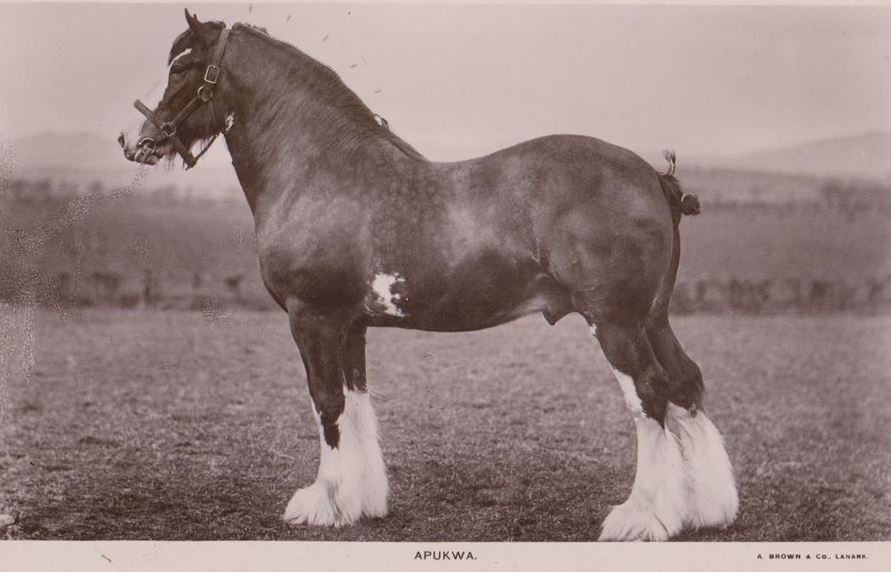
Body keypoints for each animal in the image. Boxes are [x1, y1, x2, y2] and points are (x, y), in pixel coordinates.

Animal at [119, 11, 738, 541]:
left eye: (181, 67)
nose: (136, 141)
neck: (318, 168)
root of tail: (652, 177)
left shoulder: (311, 318)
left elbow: (326, 402)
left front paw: (323, 503)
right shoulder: (350, 325)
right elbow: (356, 402)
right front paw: (361, 501)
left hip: (615, 323)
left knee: (650, 395)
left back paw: (642, 517)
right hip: (653, 318)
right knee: (685, 384)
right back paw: (707, 510)